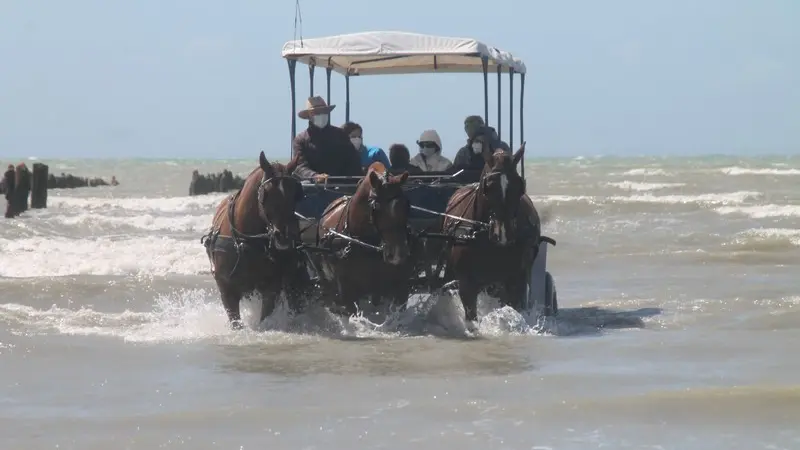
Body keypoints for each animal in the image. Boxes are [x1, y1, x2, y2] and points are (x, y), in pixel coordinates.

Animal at [203, 151, 310, 330]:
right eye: (266, 194)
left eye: (295, 194)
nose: (285, 236)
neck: (246, 241)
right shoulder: (227, 289)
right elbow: (235, 321)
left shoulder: (270, 289)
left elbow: (265, 314)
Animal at [438, 146, 544, 326]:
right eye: (488, 187)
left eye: (519, 186)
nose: (502, 233)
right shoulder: (466, 283)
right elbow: (471, 316)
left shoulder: (516, 280)